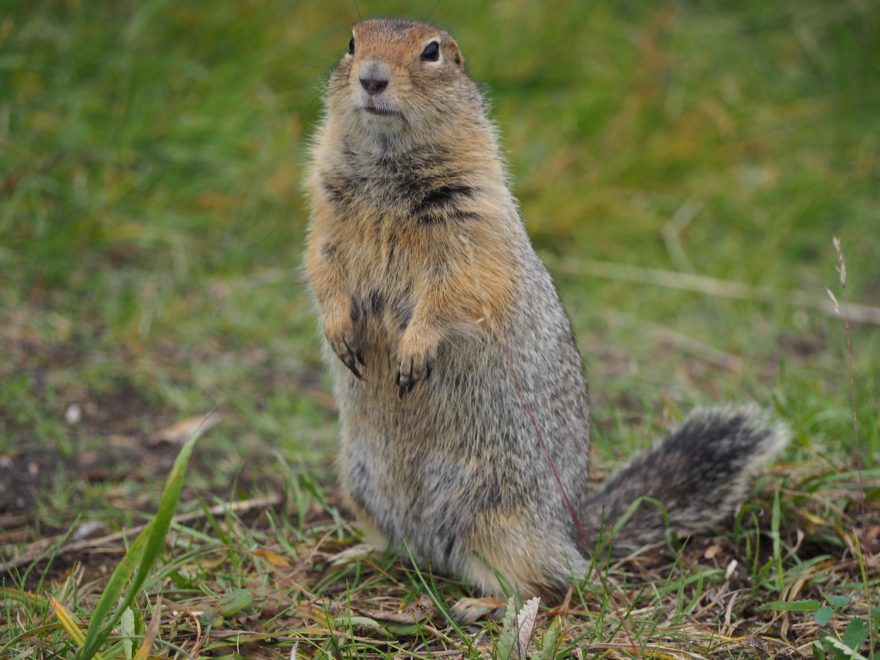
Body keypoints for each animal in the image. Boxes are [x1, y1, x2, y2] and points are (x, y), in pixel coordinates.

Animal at [304, 19, 792, 600]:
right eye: (351, 43)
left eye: (432, 52)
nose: (372, 79)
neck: (386, 167)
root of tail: (574, 528)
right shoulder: (327, 217)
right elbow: (323, 271)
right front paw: (340, 332)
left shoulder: (473, 223)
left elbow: (457, 290)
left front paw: (414, 350)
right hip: (361, 484)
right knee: (399, 545)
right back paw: (354, 555)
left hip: (501, 520)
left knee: (551, 581)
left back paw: (484, 605)